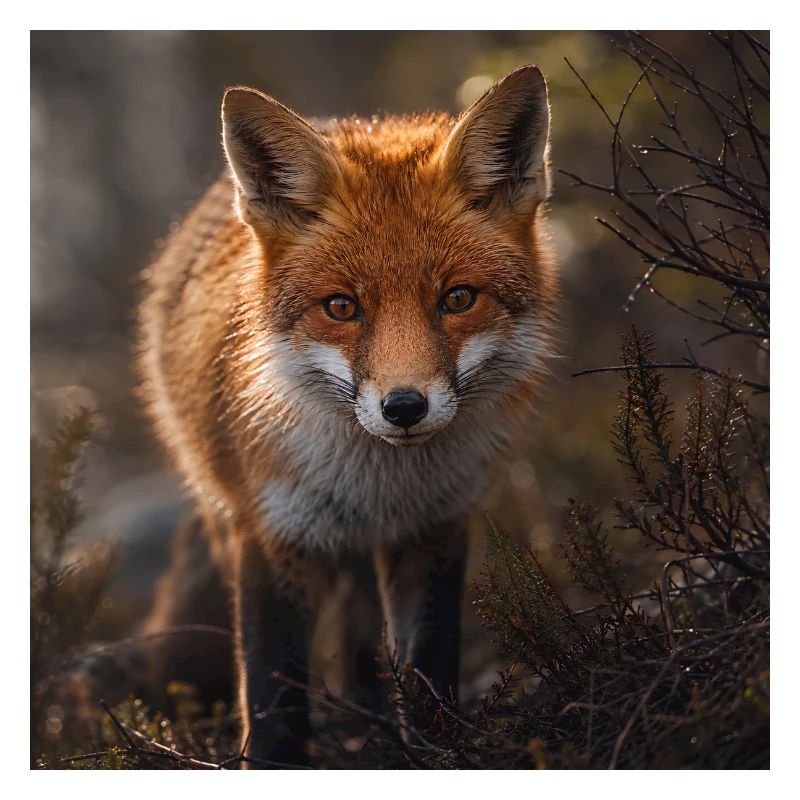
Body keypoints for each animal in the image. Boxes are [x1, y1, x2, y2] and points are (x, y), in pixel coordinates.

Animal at [137, 64, 557, 767]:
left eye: (458, 298)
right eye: (341, 307)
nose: (404, 406)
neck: (377, 485)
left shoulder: (435, 527)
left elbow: (428, 670)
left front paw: (435, 751)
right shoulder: (272, 533)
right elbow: (275, 696)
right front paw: (271, 757)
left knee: (363, 644)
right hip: (227, 517)